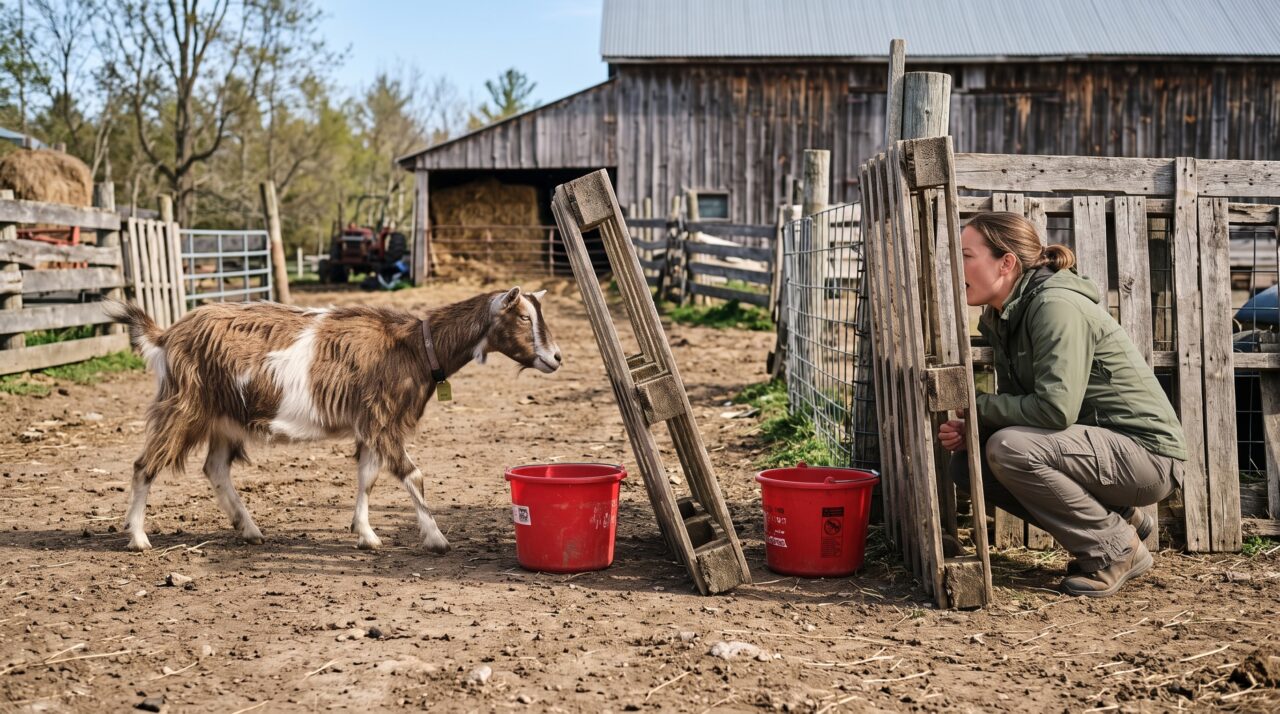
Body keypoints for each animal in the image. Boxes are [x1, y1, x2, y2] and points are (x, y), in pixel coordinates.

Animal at [107, 287, 561, 553]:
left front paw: (366, 534)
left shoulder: (370, 424)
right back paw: (138, 538)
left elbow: (368, 478)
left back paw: (249, 528)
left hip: (224, 417)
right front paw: (436, 538)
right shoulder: (382, 419)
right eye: (523, 317)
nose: (556, 358)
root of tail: (166, 335)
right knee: (144, 465)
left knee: (215, 468)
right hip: (184, 405)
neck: (415, 346)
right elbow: (412, 475)